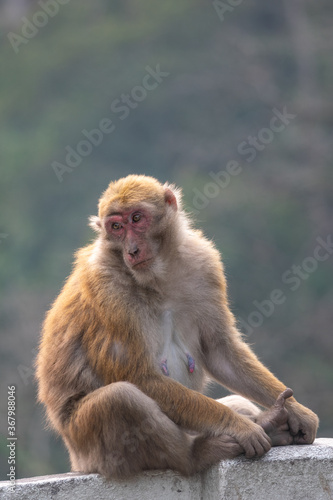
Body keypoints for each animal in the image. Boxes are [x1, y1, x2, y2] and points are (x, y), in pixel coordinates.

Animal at [35, 174, 318, 478]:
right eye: (116, 227)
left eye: (137, 218)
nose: (132, 250)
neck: (157, 276)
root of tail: (76, 461)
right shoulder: (107, 289)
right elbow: (140, 377)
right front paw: (239, 426)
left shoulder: (204, 263)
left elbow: (220, 352)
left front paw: (297, 410)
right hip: (90, 448)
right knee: (120, 398)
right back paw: (197, 453)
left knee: (237, 400)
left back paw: (269, 423)